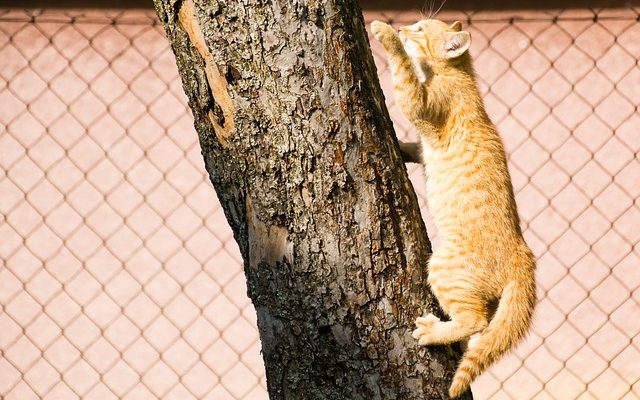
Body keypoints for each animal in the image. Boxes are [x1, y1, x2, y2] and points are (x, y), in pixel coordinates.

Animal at [372, 18, 536, 396]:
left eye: (419, 29)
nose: (403, 28)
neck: (460, 74)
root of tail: (523, 254)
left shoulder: (420, 104)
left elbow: (403, 74)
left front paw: (384, 33)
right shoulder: (423, 143)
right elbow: (414, 147)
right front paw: (398, 144)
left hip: (444, 269)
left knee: (475, 321)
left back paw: (432, 332)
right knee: (483, 323)